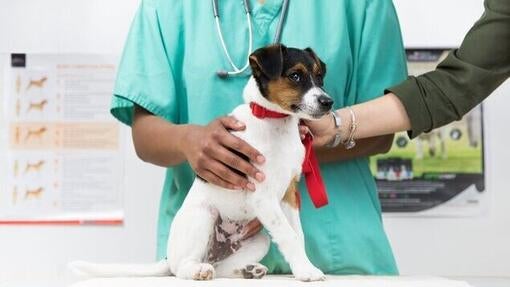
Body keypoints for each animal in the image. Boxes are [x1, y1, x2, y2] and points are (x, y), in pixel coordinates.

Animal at [70, 44, 334, 282]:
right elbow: (289, 236)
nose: (328, 102)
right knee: (182, 268)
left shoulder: (289, 194)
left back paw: (248, 270)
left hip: (259, 240)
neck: (275, 123)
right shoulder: (263, 196)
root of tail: (169, 256)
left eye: (320, 76)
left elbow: (298, 235)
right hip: (204, 216)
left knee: (222, 267)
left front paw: (304, 265)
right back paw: (198, 271)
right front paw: (306, 271)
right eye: (295, 76)